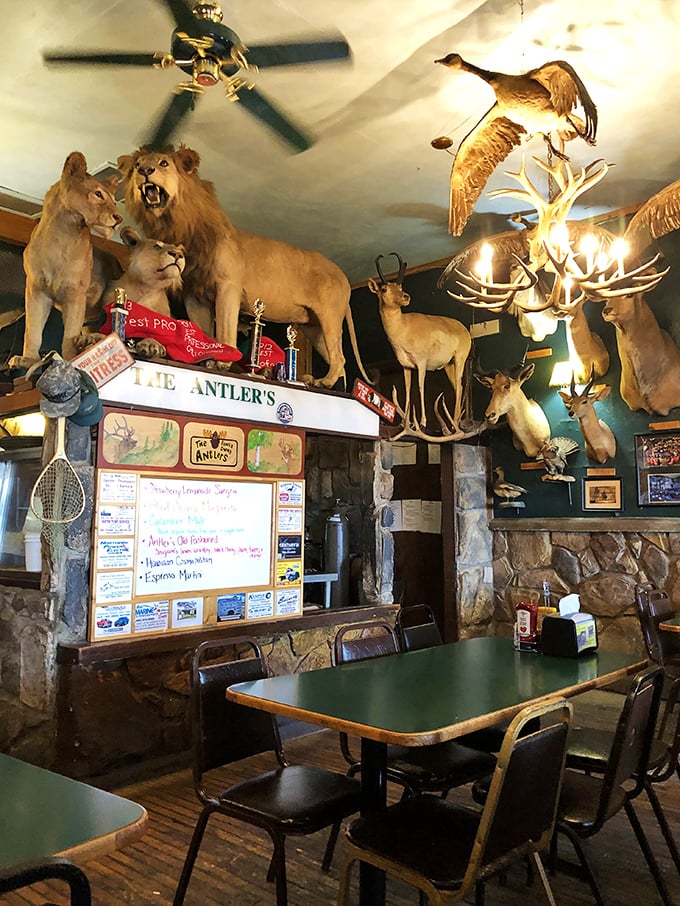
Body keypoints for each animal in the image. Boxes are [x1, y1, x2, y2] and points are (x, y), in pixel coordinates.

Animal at [9, 148, 122, 368]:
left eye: (114, 201)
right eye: (98, 194)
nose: (119, 218)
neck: (62, 235)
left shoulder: (75, 294)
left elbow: (69, 335)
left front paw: (72, 360)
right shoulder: (36, 290)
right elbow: (32, 329)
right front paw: (27, 359)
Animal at [117, 145, 372, 388]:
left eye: (163, 163)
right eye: (137, 165)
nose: (144, 170)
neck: (183, 226)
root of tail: (343, 275)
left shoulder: (228, 286)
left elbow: (224, 329)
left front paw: (222, 361)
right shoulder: (195, 296)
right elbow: (205, 331)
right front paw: (207, 359)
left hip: (329, 317)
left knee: (339, 357)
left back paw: (324, 382)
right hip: (313, 326)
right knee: (340, 362)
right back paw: (330, 385)